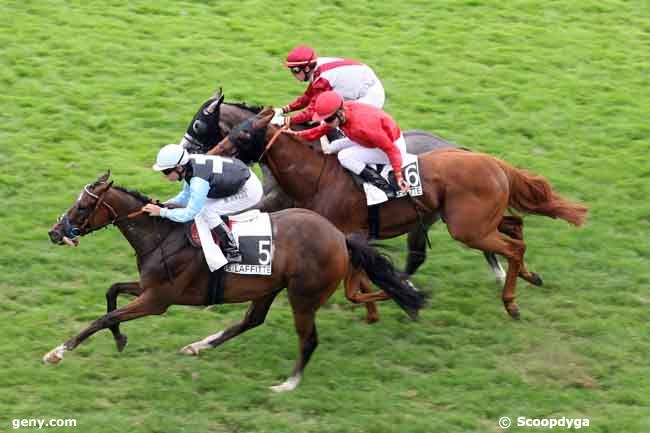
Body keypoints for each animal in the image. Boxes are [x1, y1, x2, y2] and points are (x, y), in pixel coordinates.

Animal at [44, 172, 426, 392]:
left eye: (82, 207)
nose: (54, 232)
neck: (162, 235)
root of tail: (339, 237)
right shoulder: (149, 289)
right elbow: (111, 293)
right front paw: (120, 339)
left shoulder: (158, 300)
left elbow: (104, 317)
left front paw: (58, 351)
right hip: (269, 287)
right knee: (251, 320)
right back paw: (199, 345)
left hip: (303, 296)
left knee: (308, 339)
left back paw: (288, 384)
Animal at [209, 109, 588, 318]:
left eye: (242, 134)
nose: (214, 153)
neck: (318, 176)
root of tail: (492, 161)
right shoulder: (349, 239)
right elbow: (360, 284)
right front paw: (388, 302)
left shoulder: (352, 234)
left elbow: (361, 285)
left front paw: (402, 296)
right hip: (476, 221)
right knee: (515, 225)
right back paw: (528, 275)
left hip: (467, 228)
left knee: (512, 246)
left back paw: (511, 302)